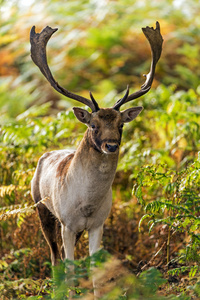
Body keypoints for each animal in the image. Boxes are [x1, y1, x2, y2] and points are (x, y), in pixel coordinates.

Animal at [30, 21, 163, 298]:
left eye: (121, 124)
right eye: (93, 125)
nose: (111, 145)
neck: (87, 204)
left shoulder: (98, 223)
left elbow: (95, 269)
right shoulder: (67, 223)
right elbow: (69, 267)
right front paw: (69, 293)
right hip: (41, 208)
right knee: (55, 256)